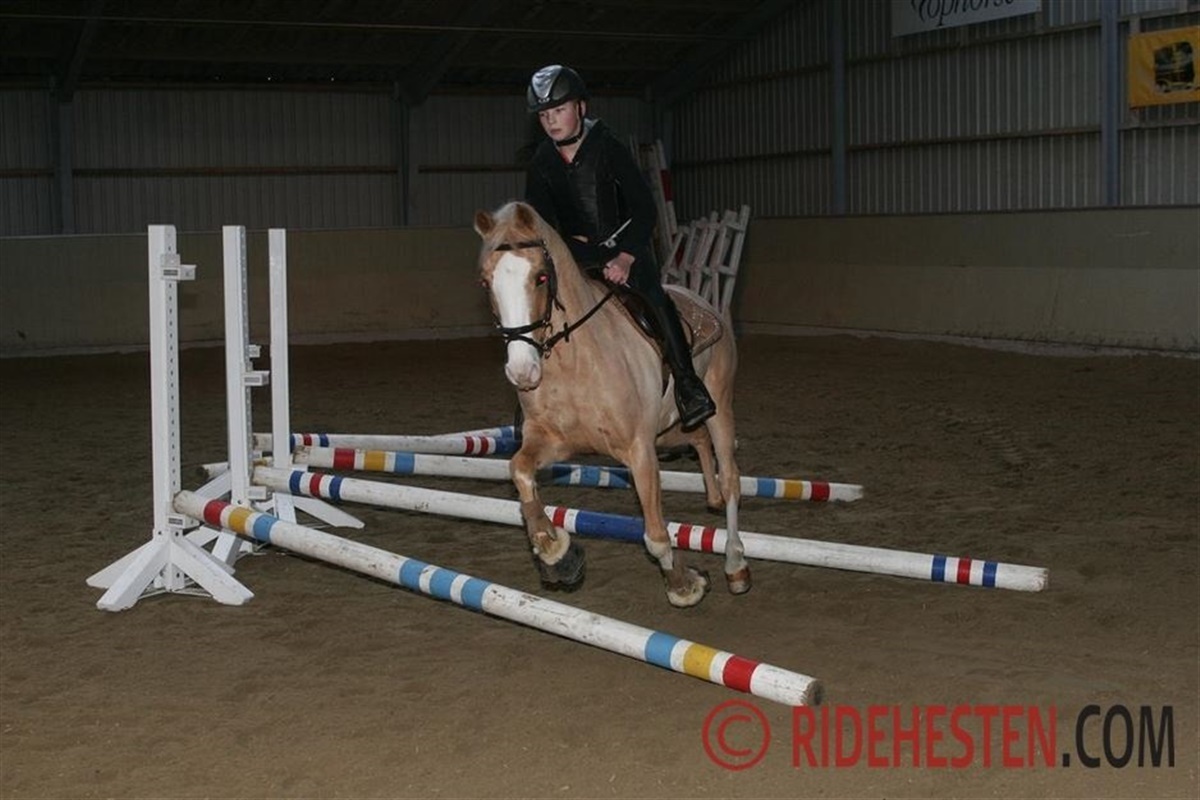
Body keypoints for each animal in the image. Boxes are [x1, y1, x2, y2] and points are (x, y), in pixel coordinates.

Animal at [473, 200, 748, 608]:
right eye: (486, 282)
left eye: (541, 277)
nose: (522, 372)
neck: (574, 361)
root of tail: (699, 299)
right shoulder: (553, 442)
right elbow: (520, 472)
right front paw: (556, 553)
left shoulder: (639, 450)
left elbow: (655, 534)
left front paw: (684, 584)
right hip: (668, 430)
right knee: (698, 443)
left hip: (720, 406)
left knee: (729, 478)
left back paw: (735, 565)